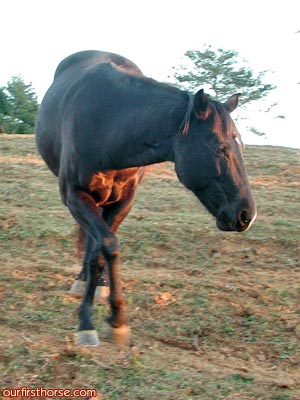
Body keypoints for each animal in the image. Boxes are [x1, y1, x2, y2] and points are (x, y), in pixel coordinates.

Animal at [34, 49, 255, 344]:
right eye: (220, 148)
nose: (247, 214)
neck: (108, 124)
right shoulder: (74, 196)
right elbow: (108, 246)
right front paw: (91, 323)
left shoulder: (123, 202)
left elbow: (101, 251)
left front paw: (113, 317)